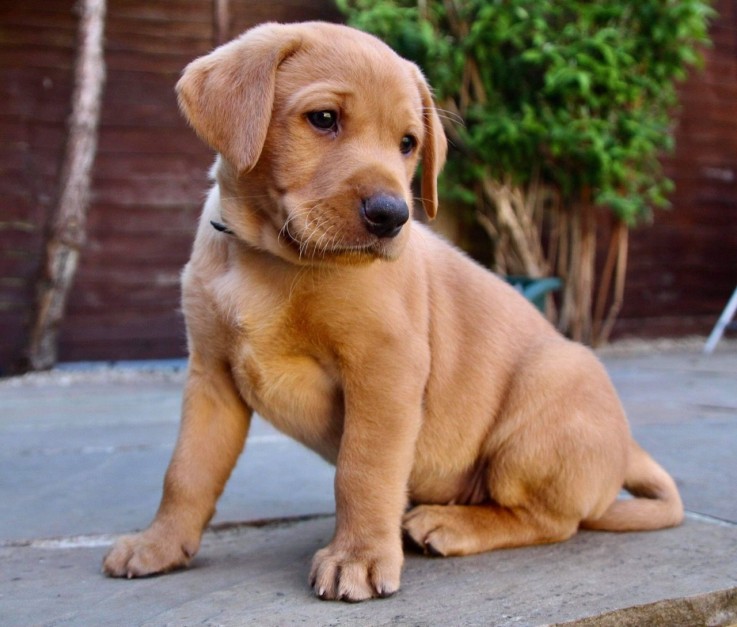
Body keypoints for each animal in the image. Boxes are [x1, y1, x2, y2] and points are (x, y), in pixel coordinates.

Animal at [100, 20, 680, 604]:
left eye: (408, 143)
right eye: (324, 119)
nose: (392, 215)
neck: (271, 259)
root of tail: (626, 447)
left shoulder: (384, 368)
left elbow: (363, 470)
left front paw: (356, 557)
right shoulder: (211, 378)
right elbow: (186, 471)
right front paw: (160, 544)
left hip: (549, 390)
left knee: (553, 521)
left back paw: (449, 523)